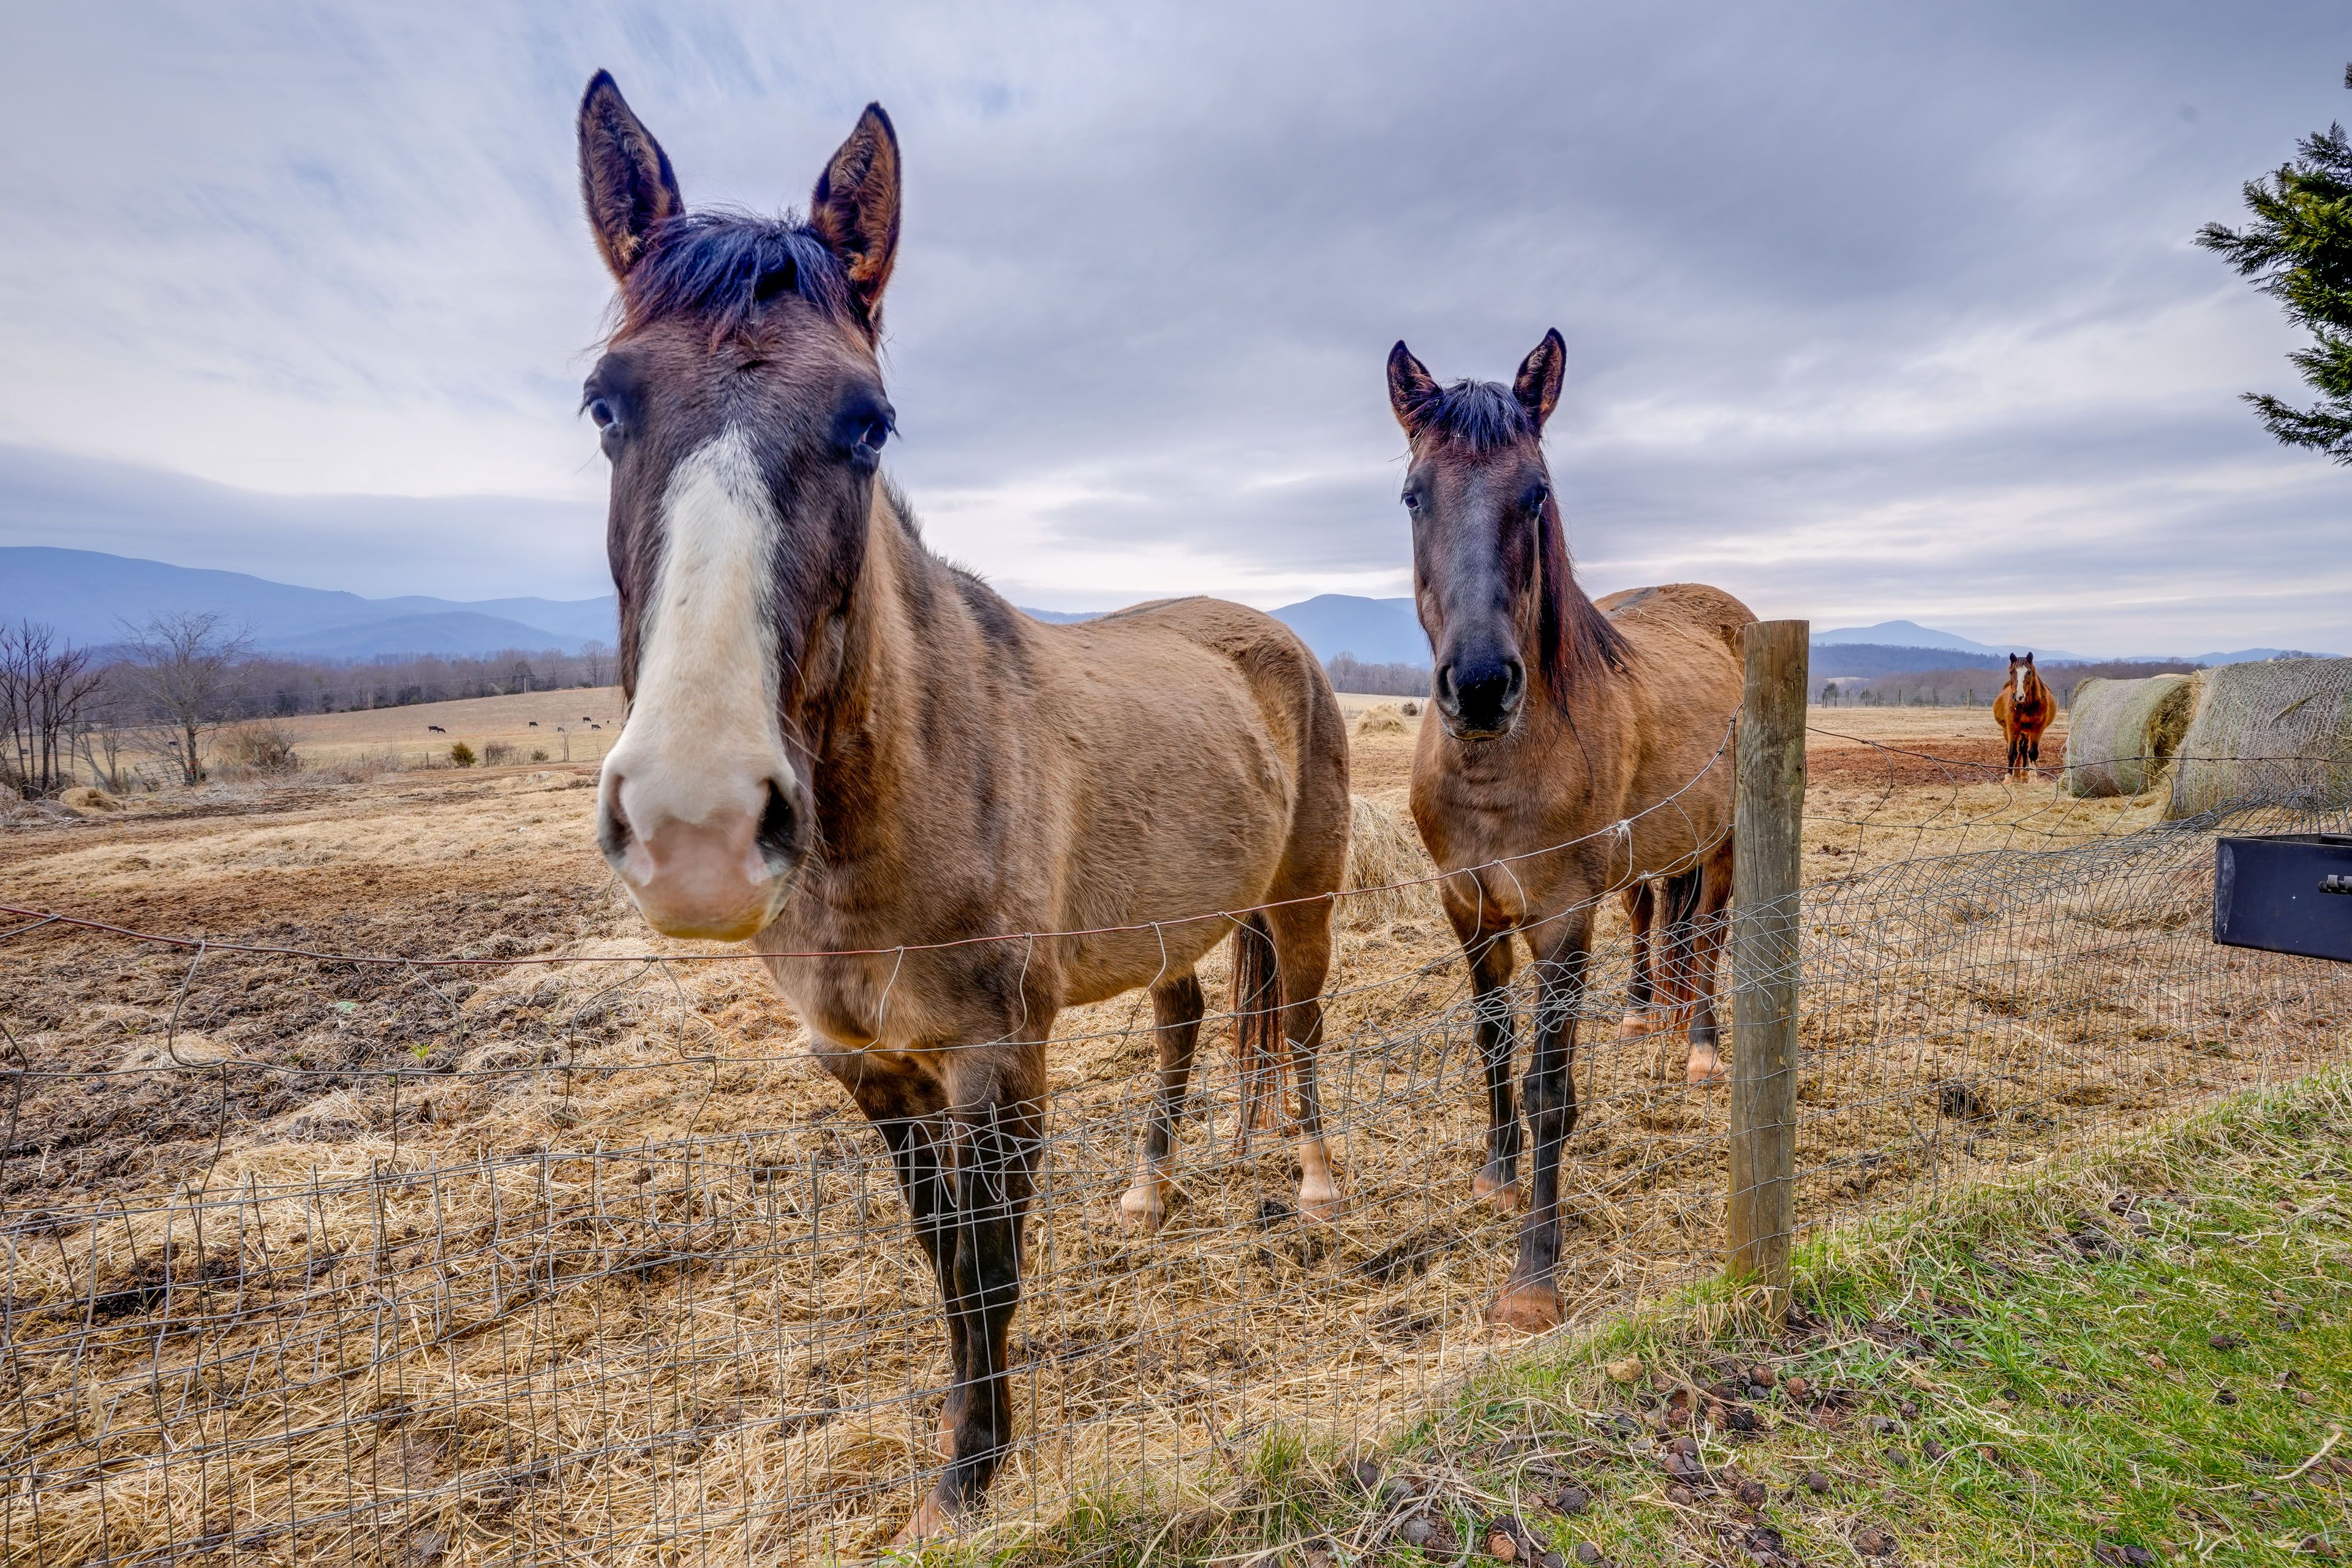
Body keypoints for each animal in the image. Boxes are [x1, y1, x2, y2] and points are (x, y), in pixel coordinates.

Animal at [573, 73, 1349, 1540]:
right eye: (603, 404)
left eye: (867, 422)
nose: (700, 824)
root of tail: (1265, 630)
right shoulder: (874, 1070)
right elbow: (942, 1254)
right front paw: (960, 1443)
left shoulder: (999, 1055)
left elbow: (988, 1260)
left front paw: (974, 1472)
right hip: (1176, 924)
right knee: (1194, 1026)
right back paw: (1155, 1186)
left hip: (1303, 896)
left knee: (1307, 1025)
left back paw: (1320, 1179)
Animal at [1387, 331, 1752, 1333]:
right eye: (1414, 494)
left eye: (1537, 494)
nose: (1479, 687)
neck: (1497, 768)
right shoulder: (1469, 910)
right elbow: (1493, 1047)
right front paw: (1496, 1172)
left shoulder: (1559, 921)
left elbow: (1550, 1089)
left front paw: (1533, 1278)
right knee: (1666, 924)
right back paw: (1650, 1017)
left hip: (1727, 844)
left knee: (1711, 933)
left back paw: (1700, 1046)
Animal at [1994, 652, 2052, 779]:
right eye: (2011, 672)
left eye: (2029, 672)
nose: (2019, 697)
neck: (2026, 706)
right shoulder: (2012, 727)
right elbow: (2012, 752)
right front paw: (2009, 777)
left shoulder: (2038, 728)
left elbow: (2032, 752)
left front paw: (2032, 777)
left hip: (2027, 733)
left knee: (2024, 750)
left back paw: (2024, 775)